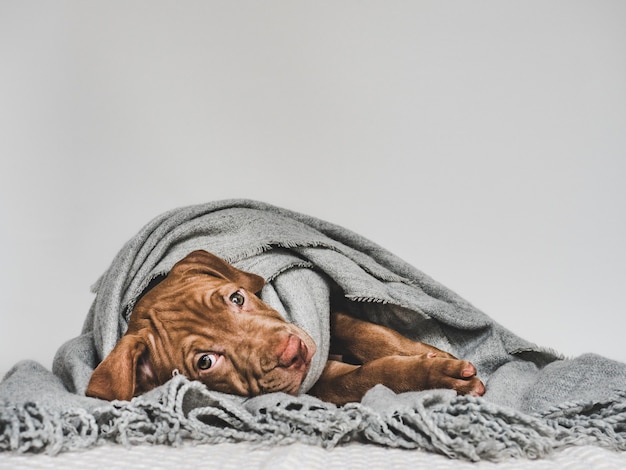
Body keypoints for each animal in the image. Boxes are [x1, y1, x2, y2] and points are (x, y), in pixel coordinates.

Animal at [86, 252, 482, 406]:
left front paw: (430, 353)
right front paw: (437, 377)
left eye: (237, 298)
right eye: (205, 362)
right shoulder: (318, 381)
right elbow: (361, 378)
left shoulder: (326, 313)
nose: (293, 353)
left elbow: (364, 330)